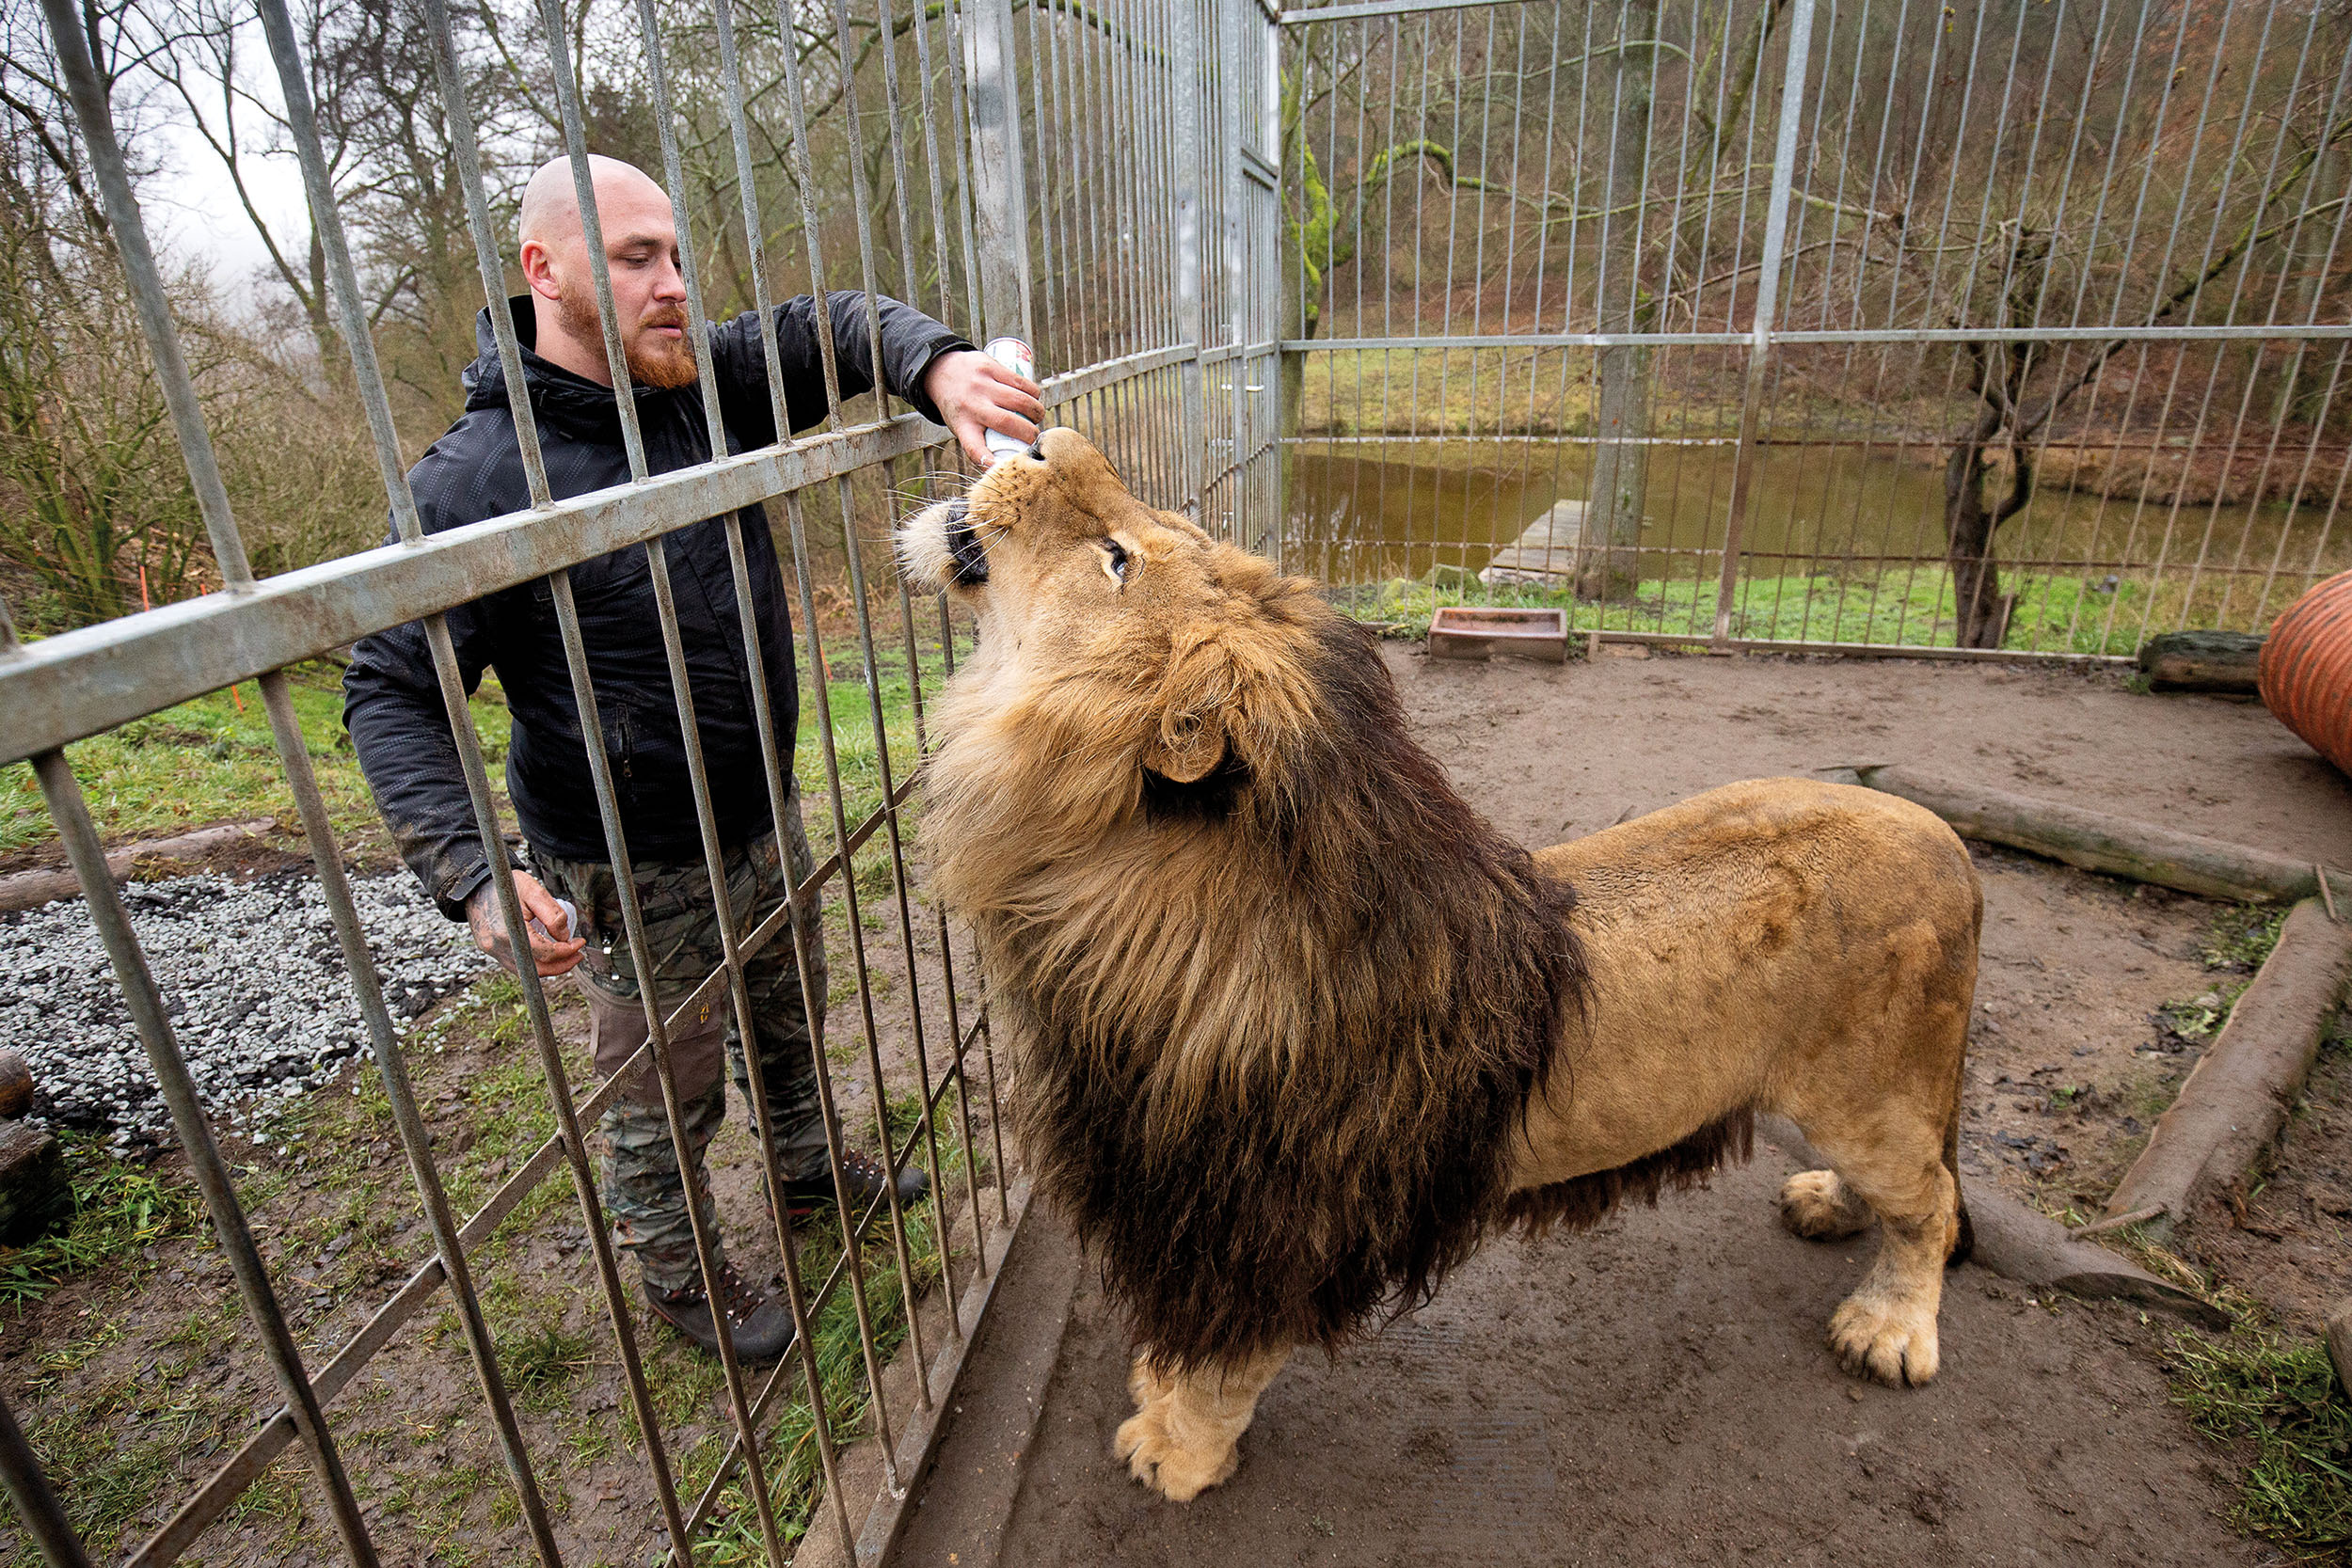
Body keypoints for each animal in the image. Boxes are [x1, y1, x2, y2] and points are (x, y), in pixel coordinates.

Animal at [898, 422, 1985, 1504]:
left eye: (1119, 556)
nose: (1042, 434)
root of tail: (1944, 838)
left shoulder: (1273, 1225)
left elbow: (1225, 1362)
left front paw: (1176, 1449)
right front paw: (1159, 1393)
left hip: (1871, 1097)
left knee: (1931, 1202)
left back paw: (1887, 1326)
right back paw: (1829, 1204)